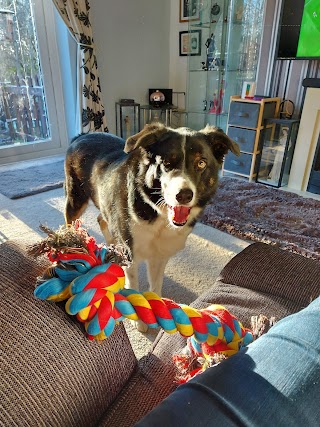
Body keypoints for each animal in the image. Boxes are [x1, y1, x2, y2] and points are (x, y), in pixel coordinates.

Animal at [65, 123, 239, 332]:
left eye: (201, 163)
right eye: (166, 163)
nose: (184, 195)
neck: (158, 214)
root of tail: (80, 136)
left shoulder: (159, 255)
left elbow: (155, 285)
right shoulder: (131, 253)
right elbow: (134, 286)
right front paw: (139, 322)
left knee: (102, 219)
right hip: (76, 197)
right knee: (70, 222)